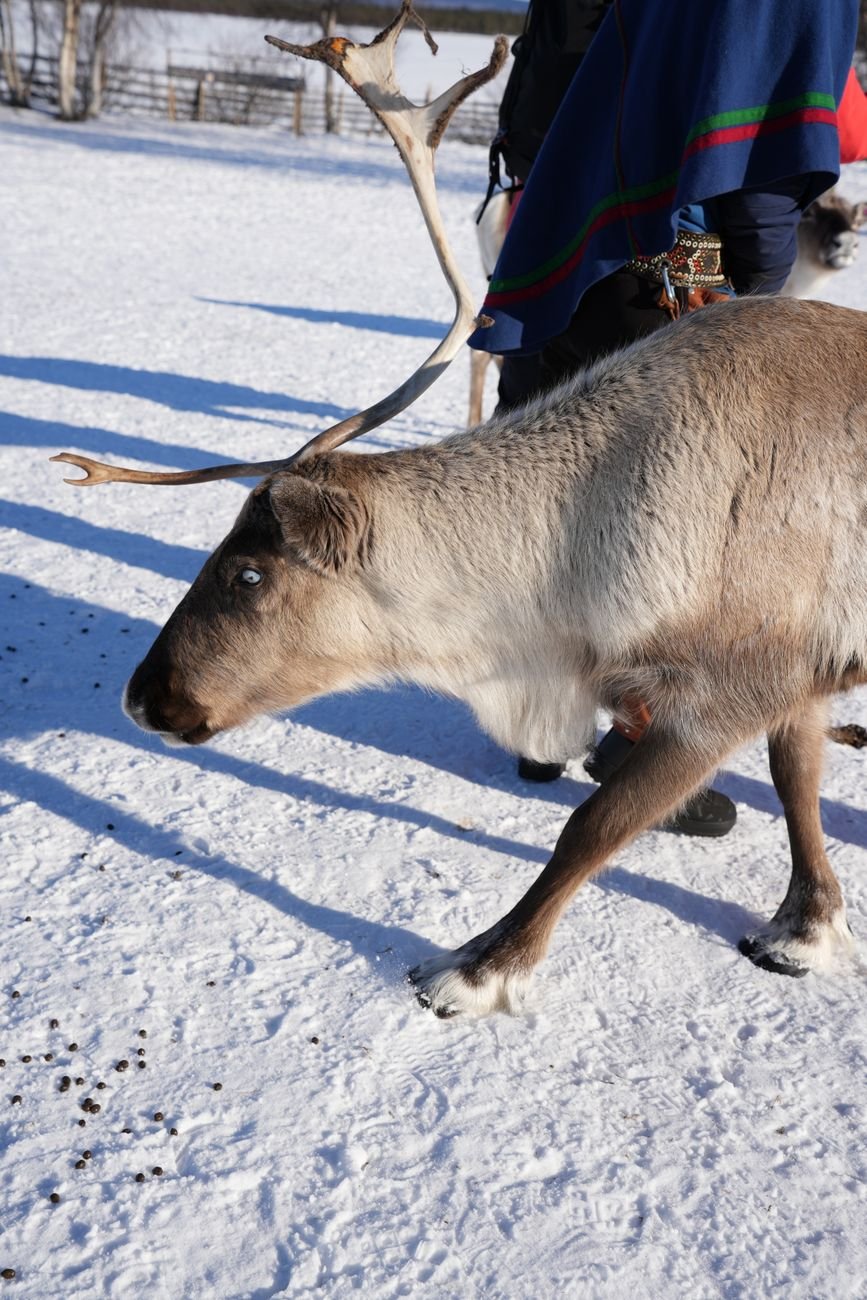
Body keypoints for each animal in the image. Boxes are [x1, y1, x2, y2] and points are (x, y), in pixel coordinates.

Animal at [52, 3, 866, 1020]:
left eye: (246, 571)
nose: (141, 698)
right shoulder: (798, 667)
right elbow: (797, 785)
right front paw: (807, 924)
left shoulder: (730, 686)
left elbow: (595, 827)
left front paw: (479, 968)